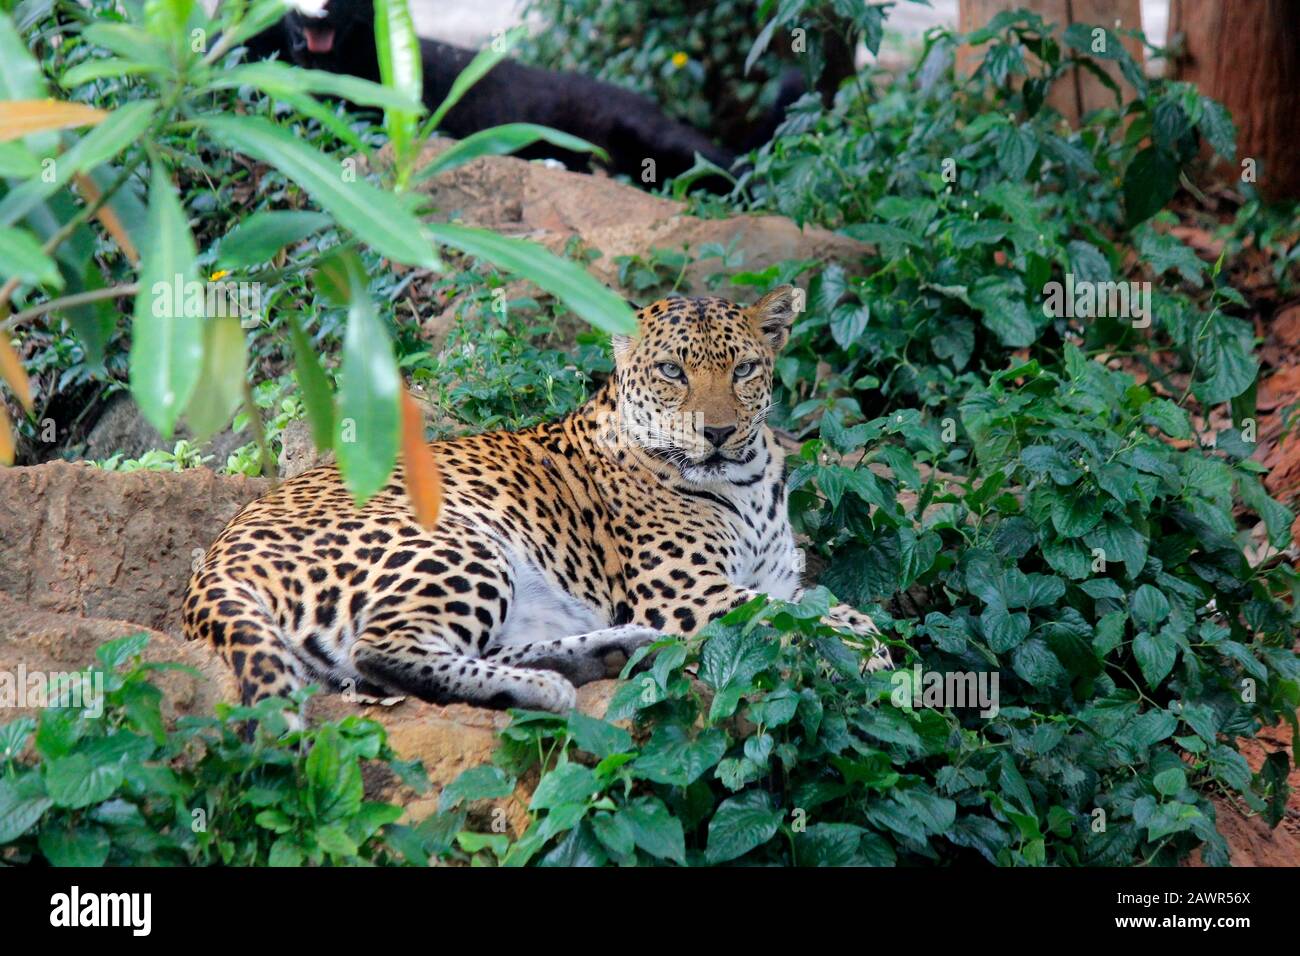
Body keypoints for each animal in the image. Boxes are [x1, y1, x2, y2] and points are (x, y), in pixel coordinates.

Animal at [182, 287, 891, 714]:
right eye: (673, 372)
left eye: (743, 370)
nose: (715, 433)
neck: (743, 481)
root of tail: (210, 563)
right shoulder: (687, 594)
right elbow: (802, 620)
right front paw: (882, 670)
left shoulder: (778, 580)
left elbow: (839, 613)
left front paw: (884, 661)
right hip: (456, 542)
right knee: (383, 649)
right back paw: (551, 687)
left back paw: (606, 652)